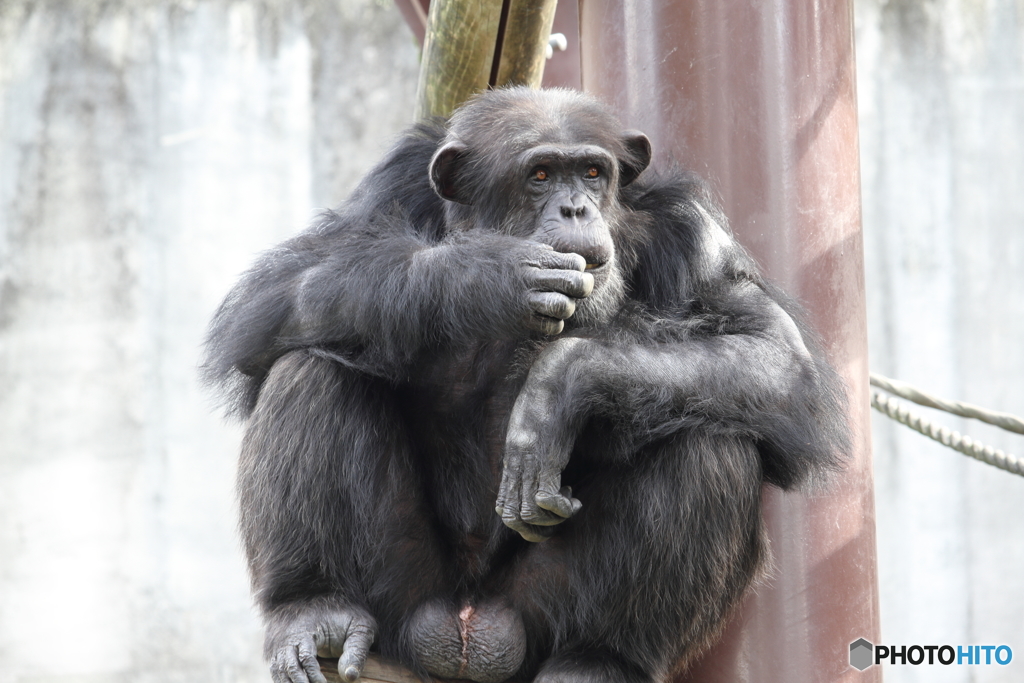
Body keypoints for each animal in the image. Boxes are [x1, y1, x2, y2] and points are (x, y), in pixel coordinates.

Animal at [201, 87, 847, 683]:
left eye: (592, 173)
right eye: (540, 175)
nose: (576, 209)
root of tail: (467, 634)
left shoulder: (689, 230)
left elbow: (773, 353)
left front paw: (557, 386)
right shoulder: (391, 186)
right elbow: (281, 295)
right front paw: (484, 275)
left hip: (538, 613)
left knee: (709, 439)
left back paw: (601, 659)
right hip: (402, 599)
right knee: (308, 366)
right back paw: (315, 609)